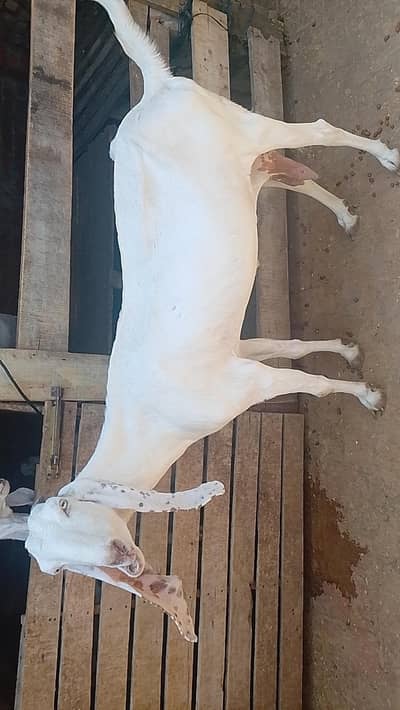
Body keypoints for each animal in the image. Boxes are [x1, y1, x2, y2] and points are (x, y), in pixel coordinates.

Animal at [2, 0, 398, 640]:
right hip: (244, 163)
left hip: (241, 124)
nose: (124, 562)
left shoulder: (245, 385)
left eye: (66, 505)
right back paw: (345, 214)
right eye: (55, 567)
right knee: (286, 171)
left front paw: (366, 395)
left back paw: (387, 157)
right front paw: (347, 349)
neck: (154, 418)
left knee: (312, 131)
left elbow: (310, 385)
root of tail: (156, 88)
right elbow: (289, 345)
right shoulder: (240, 353)